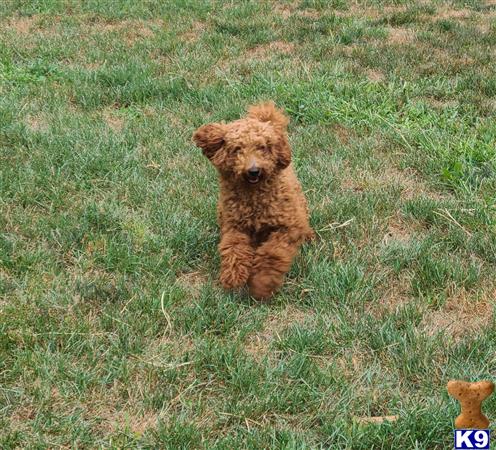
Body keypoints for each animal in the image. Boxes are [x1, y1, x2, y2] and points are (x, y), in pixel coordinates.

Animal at [194, 102, 314, 298]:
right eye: (237, 149)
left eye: (262, 147)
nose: (253, 171)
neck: (254, 197)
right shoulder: (234, 227)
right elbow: (234, 250)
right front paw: (233, 279)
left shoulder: (287, 228)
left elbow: (272, 254)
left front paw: (262, 284)